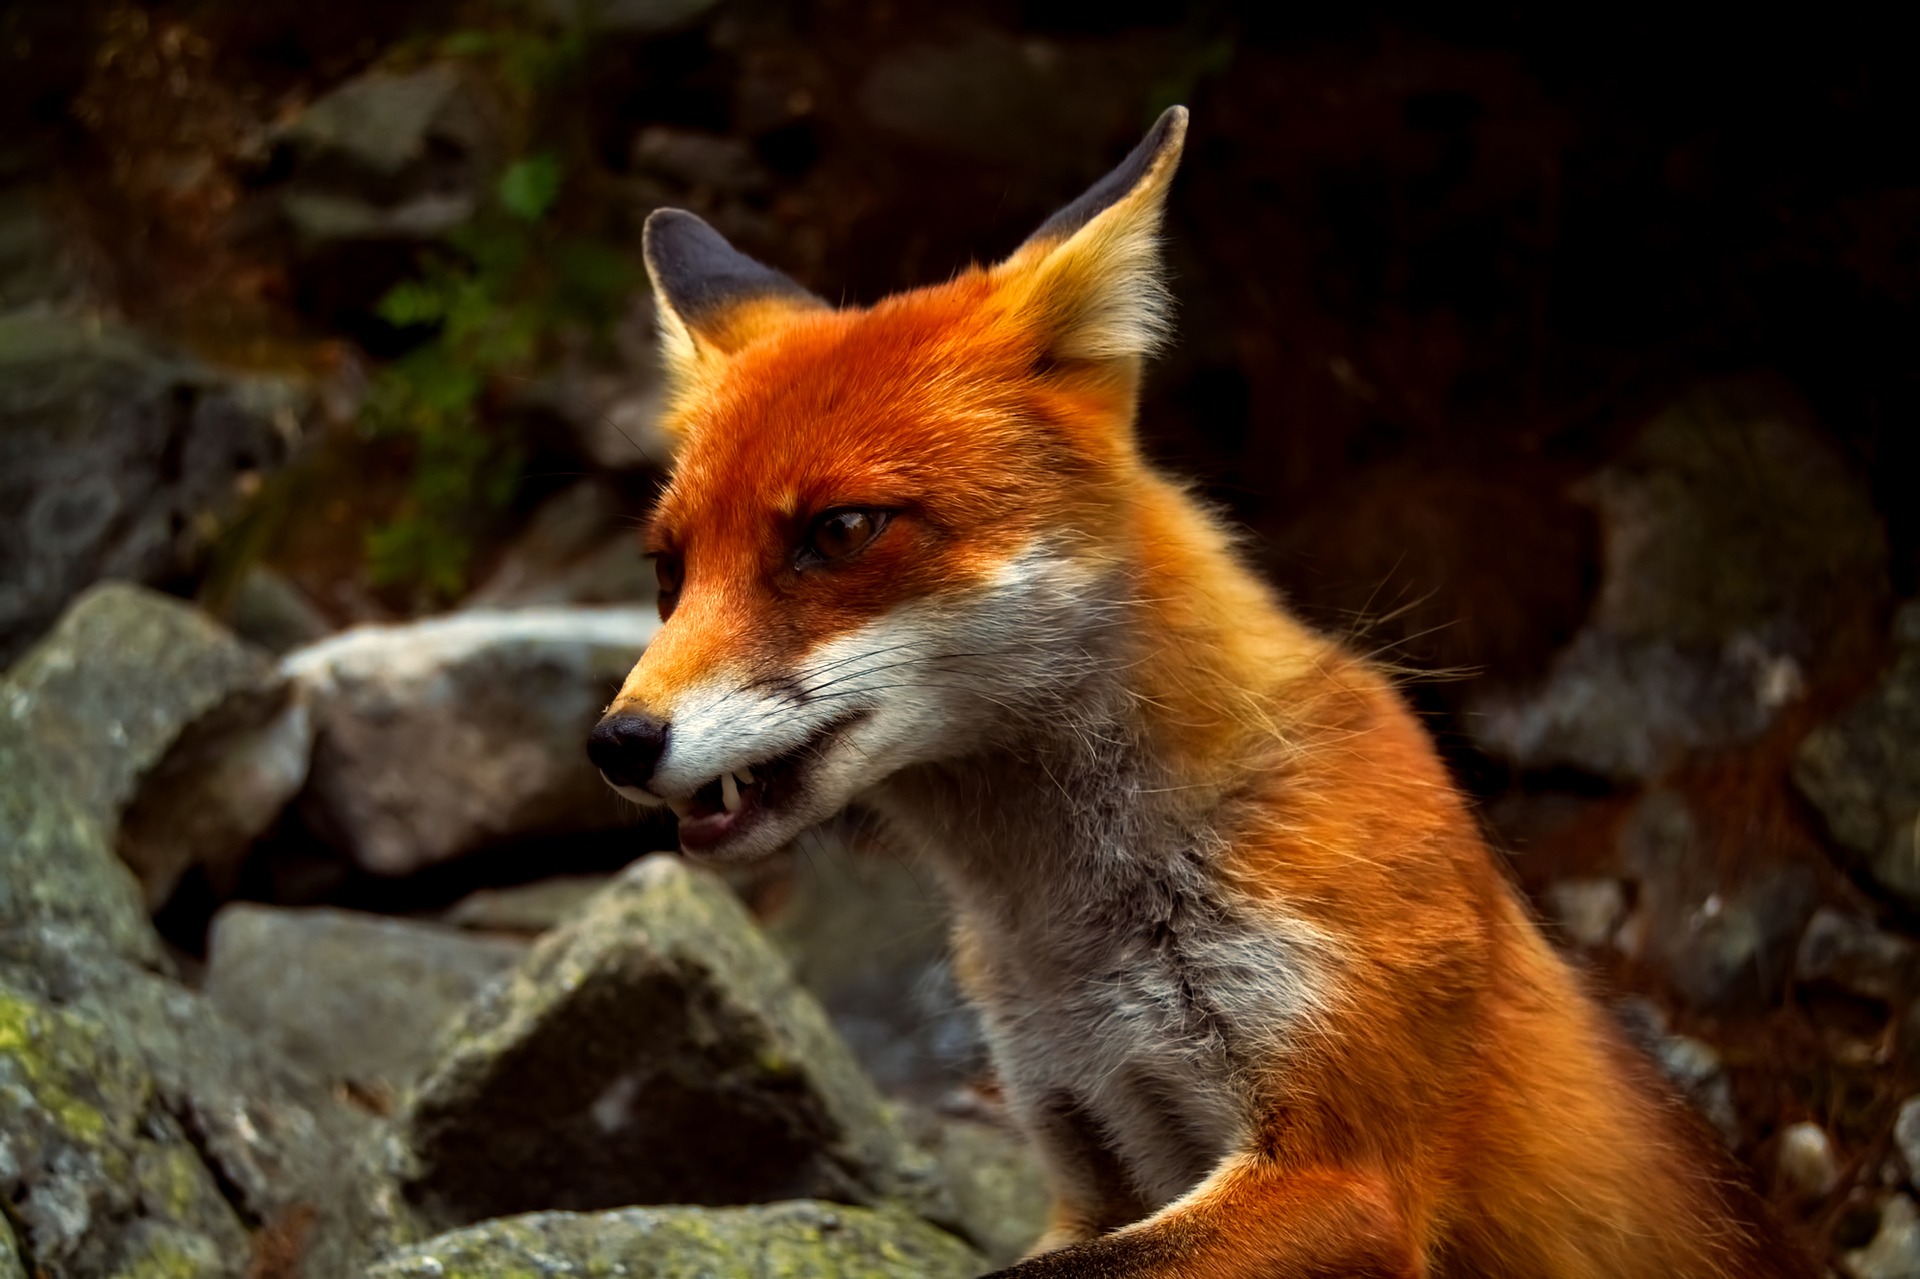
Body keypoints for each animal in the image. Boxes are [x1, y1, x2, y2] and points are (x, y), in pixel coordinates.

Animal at [586, 107, 1819, 1278]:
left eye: (841, 532)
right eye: (668, 571)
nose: (617, 743)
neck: (1074, 936)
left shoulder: (1340, 1168)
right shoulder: (1082, 1146)